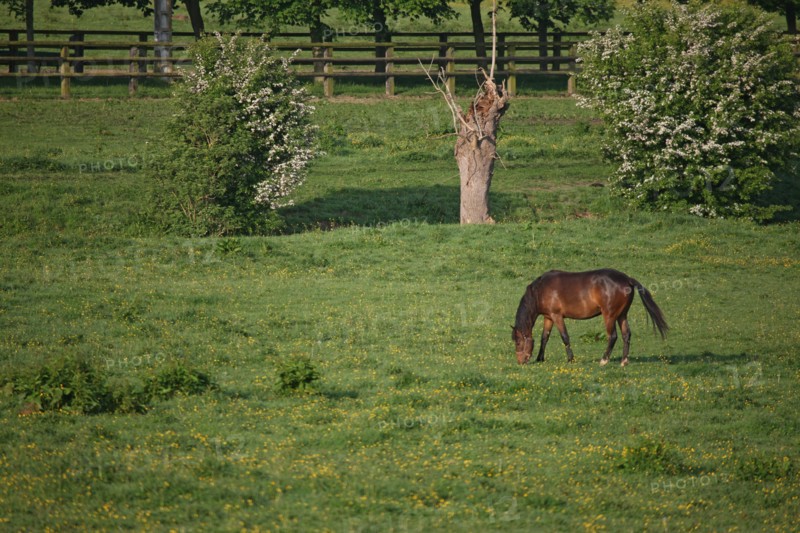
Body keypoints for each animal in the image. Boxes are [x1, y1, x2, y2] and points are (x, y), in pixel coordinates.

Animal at [512, 269, 668, 366]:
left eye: (518, 342)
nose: (520, 361)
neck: (541, 290)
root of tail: (627, 279)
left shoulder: (557, 316)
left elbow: (565, 337)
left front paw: (570, 359)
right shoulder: (548, 317)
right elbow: (545, 338)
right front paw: (540, 358)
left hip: (609, 316)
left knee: (613, 336)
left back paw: (604, 360)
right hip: (622, 315)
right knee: (626, 335)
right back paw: (624, 361)